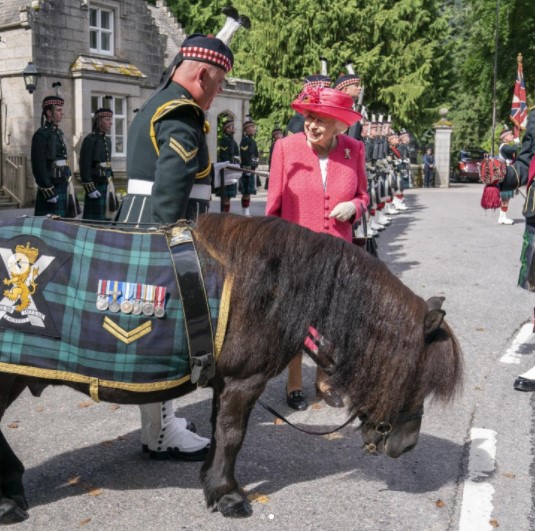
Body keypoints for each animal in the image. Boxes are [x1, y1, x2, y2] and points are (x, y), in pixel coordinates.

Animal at [0, 213, 460, 524]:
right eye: (417, 375)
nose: (406, 445)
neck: (273, 284)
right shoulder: (243, 380)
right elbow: (233, 434)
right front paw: (228, 495)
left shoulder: (226, 382)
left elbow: (220, 427)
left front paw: (211, 480)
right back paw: (8, 499)